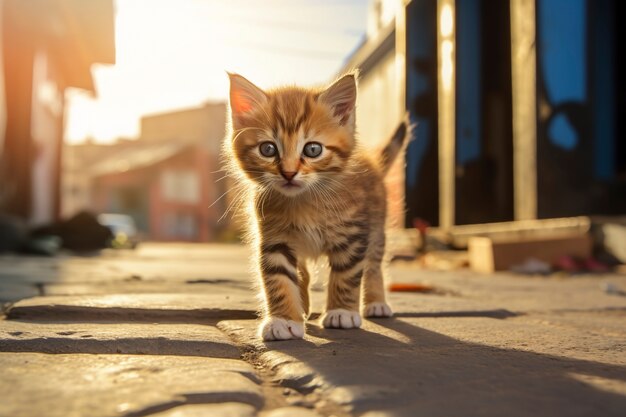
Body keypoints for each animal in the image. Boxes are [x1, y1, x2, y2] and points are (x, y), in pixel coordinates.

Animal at [224, 70, 410, 338]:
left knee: (374, 264)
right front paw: (283, 319)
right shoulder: (274, 239)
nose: (289, 173)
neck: (304, 201)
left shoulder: (353, 235)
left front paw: (341, 312)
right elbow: (279, 279)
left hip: (376, 227)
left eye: (313, 149)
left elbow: (347, 275)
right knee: (304, 272)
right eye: (268, 149)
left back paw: (376, 302)